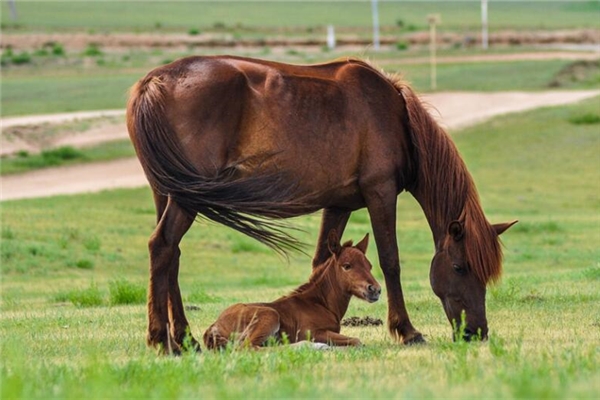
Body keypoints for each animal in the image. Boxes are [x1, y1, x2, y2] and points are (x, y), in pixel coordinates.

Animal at [202, 231, 380, 350]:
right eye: (347, 266)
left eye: (369, 266)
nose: (375, 290)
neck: (320, 303)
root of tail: (214, 326)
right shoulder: (311, 332)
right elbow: (357, 341)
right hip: (269, 315)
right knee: (248, 347)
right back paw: (312, 346)